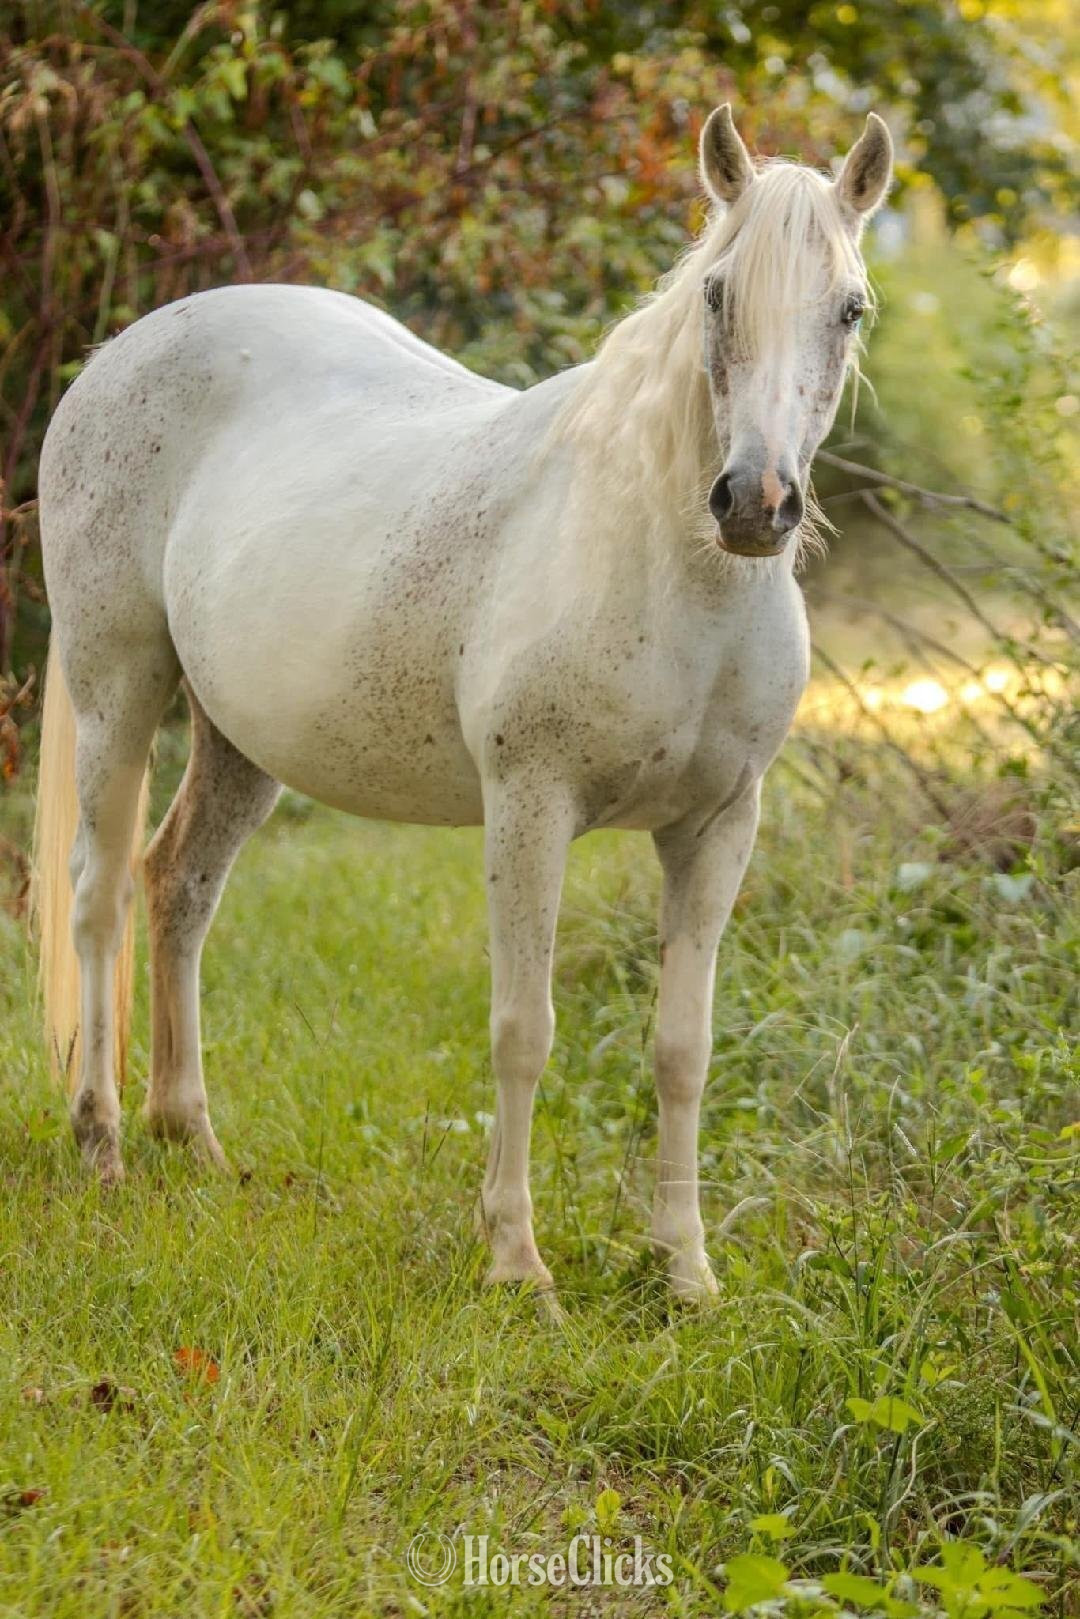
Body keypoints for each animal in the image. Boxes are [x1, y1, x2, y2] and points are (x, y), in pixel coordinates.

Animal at [33, 105, 891, 1303]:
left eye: (849, 307)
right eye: (719, 294)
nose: (756, 504)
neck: (669, 568)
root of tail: (116, 353)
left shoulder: (719, 827)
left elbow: (684, 1046)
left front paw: (685, 1270)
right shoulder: (530, 806)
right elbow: (523, 1029)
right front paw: (517, 1262)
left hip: (240, 740)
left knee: (180, 887)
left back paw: (193, 1141)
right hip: (116, 683)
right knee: (99, 893)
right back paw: (103, 1144)